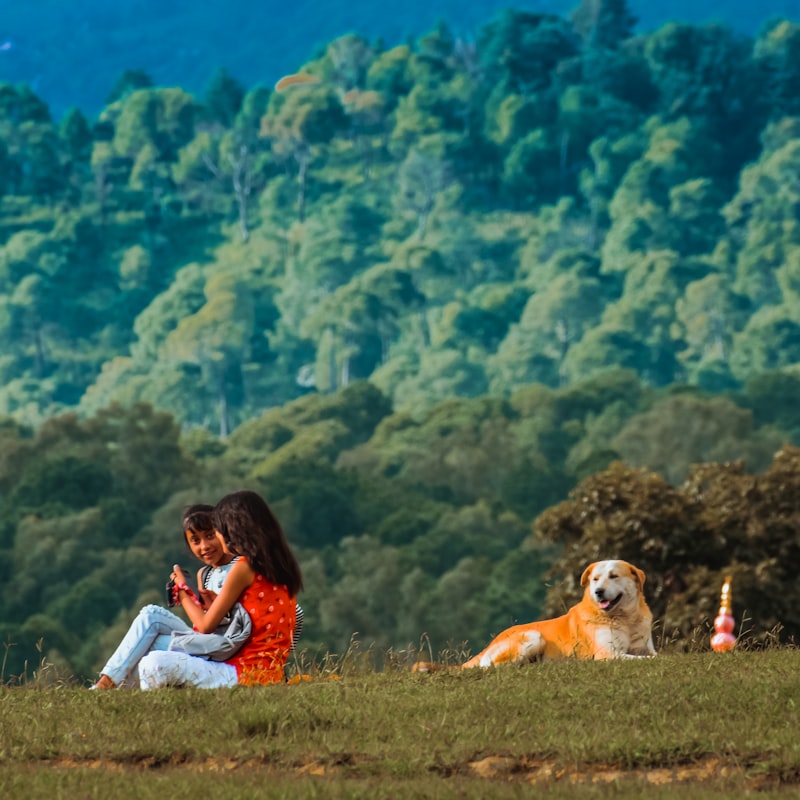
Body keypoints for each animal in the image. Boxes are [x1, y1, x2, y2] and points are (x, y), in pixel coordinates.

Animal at [412, 560, 656, 672]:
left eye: (614, 576)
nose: (598, 592)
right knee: (493, 666)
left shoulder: (643, 646)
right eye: (595, 579)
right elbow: (647, 659)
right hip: (533, 636)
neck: (625, 619)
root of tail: (491, 642)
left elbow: (653, 654)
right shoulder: (608, 654)